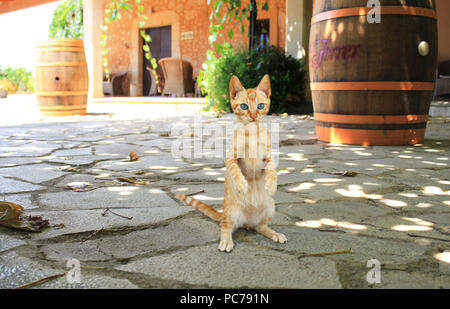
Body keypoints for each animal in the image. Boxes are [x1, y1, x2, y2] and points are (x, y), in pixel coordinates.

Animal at [175, 74, 284, 250]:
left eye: (260, 106)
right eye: (244, 106)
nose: (253, 116)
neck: (251, 133)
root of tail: (248, 221)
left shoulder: (268, 156)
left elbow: (272, 167)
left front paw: (271, 183)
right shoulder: (231, 157)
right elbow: (234, 169)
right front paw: (241, 183)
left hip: (270, 206)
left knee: (260, 226)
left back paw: (273, 233)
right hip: (232, 212)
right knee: (225, 226)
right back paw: (226, 240)